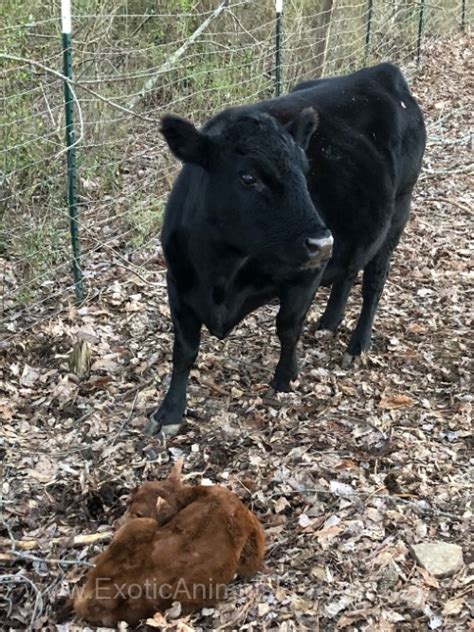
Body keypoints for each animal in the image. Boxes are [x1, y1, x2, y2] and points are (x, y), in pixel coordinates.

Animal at [145, 65, 426, 440]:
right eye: (247, 177)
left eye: (306, 171)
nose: (322, 243)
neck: (220, 272)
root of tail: (380, 71)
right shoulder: (177, 281)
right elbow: (184, 350)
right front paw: (170, 411)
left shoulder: (304, 276)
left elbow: (287, 326)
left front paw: (285, 377)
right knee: (350, 270)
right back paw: (329, 321)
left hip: (398, 213)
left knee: (373, 284)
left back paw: (357, 345)